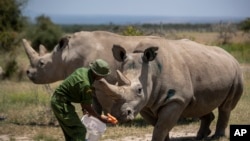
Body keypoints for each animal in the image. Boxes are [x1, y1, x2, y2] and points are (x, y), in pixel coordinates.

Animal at [22, 30, 161, 113]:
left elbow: (105, 102)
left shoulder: (104, 83)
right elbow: (95, 103)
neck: (65, 56)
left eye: (41, 63)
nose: (27, 72)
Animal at [94, 38, 243, 140]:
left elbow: (161, 126)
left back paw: (217, 137)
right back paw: (200, 136)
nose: (119, 115)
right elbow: (158, 125)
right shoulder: (146, 103)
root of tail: (230, 55)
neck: (151, 69)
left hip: (237, 72)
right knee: (199, 104)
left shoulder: (176, 99)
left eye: (139, 90)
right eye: (117, 84)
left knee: (225, 107)